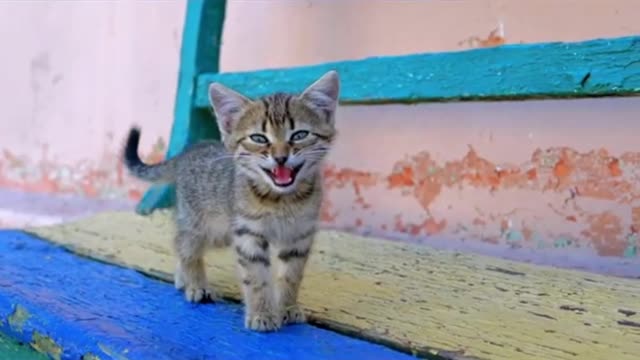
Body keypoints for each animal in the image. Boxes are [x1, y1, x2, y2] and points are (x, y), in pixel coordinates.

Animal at [121, 70, 340, 332]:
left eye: (299, 135)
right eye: (259, 138)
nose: (280, 158)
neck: (282, 200)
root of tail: (188, 151)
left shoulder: (299, 236)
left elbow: (290, 276)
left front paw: (287, 307)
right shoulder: (248, 234)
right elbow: (256, 277)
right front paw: (261, 313)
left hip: (222, 234)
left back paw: (183, 278)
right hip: (200, 225)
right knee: (184, 245)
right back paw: (196, 284)